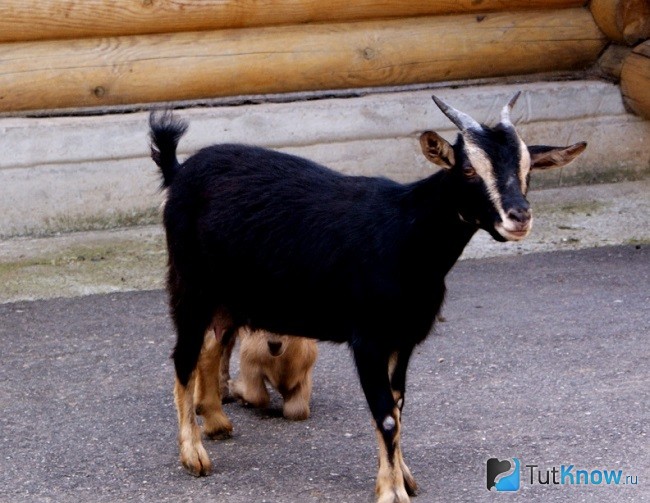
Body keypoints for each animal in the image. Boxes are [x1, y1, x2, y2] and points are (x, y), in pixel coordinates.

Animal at [149, 93, 586, 503]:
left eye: (528, 169)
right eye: (467, 169)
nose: (519, 217)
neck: (406, 235)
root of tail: (179, 173)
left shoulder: (403, 339)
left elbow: (398, 405)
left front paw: (403, 477)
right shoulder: (369, 339)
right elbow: (386, 415)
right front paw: (392, 492)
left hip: (230, 297)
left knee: (210, 347)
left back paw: (216, 422)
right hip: (190, 284)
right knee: (183, 357)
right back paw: (194, 454)